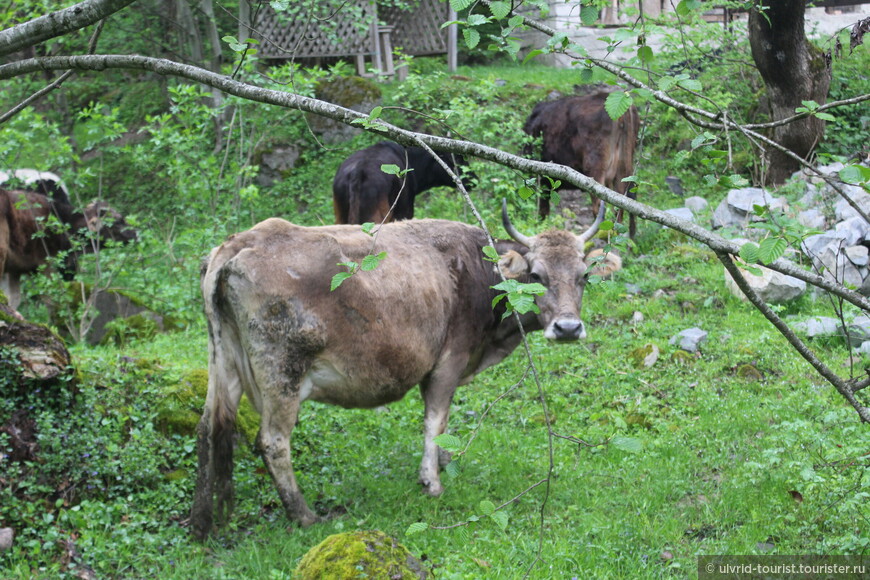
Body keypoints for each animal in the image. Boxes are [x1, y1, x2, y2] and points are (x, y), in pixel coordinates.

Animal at [524, 88, 640, 236]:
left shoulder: (543, 179)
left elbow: (543, 211)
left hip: (595, 168)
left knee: (599, 205)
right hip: (624, 168)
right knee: (625, 201)